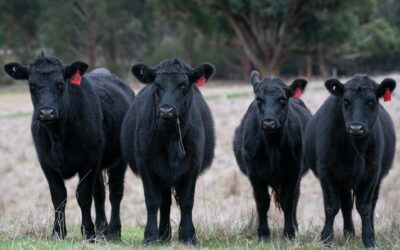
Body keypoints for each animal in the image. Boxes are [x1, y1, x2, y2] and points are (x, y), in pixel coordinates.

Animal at [3, 54, 134, 240]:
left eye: (60, 84)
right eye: (31, 85)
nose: (47, 112)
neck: (58, 135)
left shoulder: (88, 162)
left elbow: (83, 195)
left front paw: (88, 231)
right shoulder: (46, 163)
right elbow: (58, 195)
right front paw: (58, 231)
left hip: (119, 160)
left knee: (115, 192)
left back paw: (114, 231)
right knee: (99, 193)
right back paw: (102, 230)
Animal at [120, 58, 216, 244]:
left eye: (183, 85)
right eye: (157, 85)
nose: (166, 110)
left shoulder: (193, 166)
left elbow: (187, 201)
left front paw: (189, 236)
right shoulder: (146, 165)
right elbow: (152, 201)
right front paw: (150, 237)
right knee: (164, 202)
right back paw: (163, 235)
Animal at [231, 71, 312, 240]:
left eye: (282, 99)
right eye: (259, 99)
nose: (269, 123)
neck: (272, 146)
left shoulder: (294, 171)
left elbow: (288, 201)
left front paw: (290, 232)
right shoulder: (254, 173)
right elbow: (262, 201)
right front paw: (263, 233)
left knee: (295, 198)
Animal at [304, 73, 396, 247]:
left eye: (371, 102)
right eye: (346, 101)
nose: (356, 128)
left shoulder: (372, 173)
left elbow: (365, 207)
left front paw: (369, 240)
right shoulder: (327, 172)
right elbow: (332, 206)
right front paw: (326, 239)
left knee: (371, 204)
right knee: (346, 205)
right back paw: (348, 233)